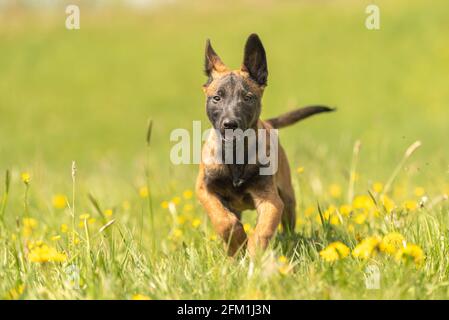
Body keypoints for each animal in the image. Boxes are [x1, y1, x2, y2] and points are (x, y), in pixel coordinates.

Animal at [196, 33, 332, 256]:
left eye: (247, 98)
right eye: (217, 98)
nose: (230, 124)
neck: (235, 156)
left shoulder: (271, 200)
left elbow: (263, 230)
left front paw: (254, 256)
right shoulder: (204, 189)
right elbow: (224, 221)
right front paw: (237, 244)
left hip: (288, 198)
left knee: (288, 225)